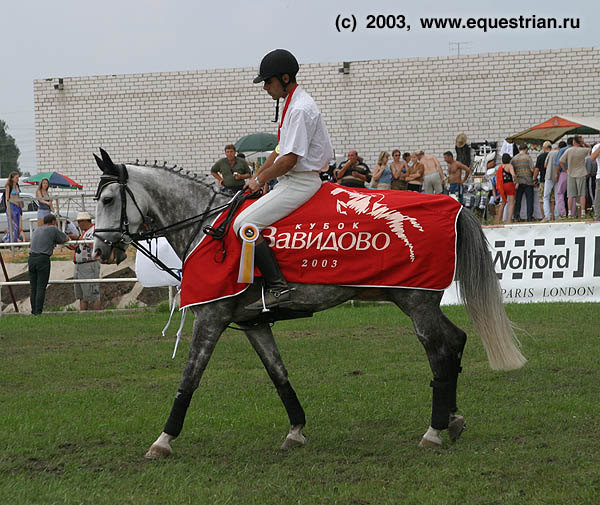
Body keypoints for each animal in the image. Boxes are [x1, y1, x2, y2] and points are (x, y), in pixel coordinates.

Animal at [91, 149, 528, 456]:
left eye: (110, 199)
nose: (98, 249)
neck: (206, 226)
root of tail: (453, 205)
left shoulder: (210, 318)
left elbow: (189, 378)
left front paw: (163, 440)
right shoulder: (254, 324)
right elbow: (279, 375)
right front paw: (296, 430)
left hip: (416, 303)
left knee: (439, 353)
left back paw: (433, 431)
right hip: (423, 303)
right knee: (455, 342)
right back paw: (452, 421)